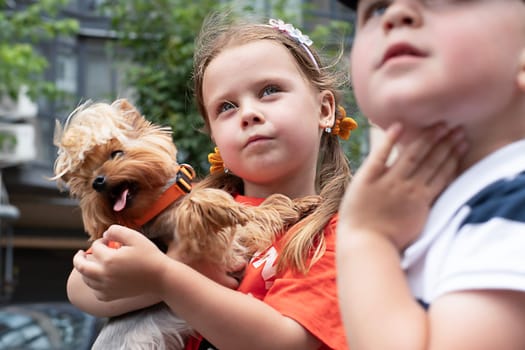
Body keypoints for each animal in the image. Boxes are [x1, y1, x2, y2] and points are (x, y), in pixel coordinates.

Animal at [52, 98, 320, 350]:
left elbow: (259, 213)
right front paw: (222, 204)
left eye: (116, 153)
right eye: (85, 178)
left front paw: (299, 203)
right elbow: (205, 208)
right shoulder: (211, 245)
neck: (159, 204)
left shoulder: (234, 239)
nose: (96, 182)